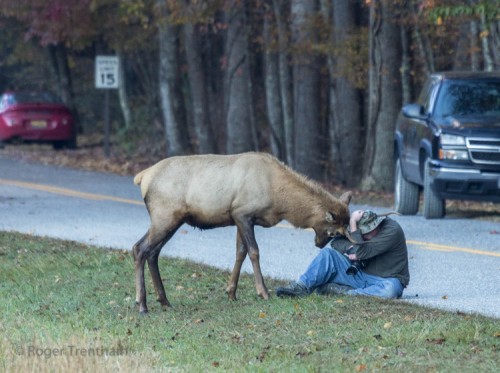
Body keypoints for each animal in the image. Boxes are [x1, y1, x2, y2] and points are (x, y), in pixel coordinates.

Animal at [133, 151, 352, 310]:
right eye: (334, 232)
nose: (319, 244)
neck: (279, 200)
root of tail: (142, 177)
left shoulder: (239, 218)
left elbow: (240, 252)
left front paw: (231, 292)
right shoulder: (242, 213)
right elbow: (254, 251)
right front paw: (263, 292)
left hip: (172, 220)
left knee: (153, 252)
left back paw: (164, 300)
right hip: (165, 216)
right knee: (140, 248)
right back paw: (142, 304)